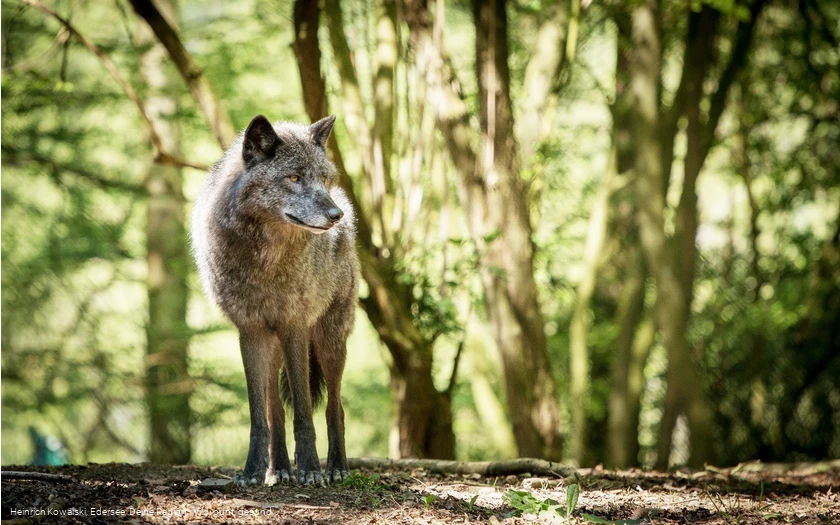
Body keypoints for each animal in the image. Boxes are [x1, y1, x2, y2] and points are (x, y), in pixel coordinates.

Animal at [190, 114, 358, 486]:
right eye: (294, 177)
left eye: (323, 179)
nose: (335, 214)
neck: (265, 259)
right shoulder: (250, 332)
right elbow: (259, 415)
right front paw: (253, 470)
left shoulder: (295, 326)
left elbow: (305, 414)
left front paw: (310, 469)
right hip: (273, 345)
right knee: (275, 410)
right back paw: (278, 468)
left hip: (329, 341)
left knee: (335, 407)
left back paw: (337, 467)